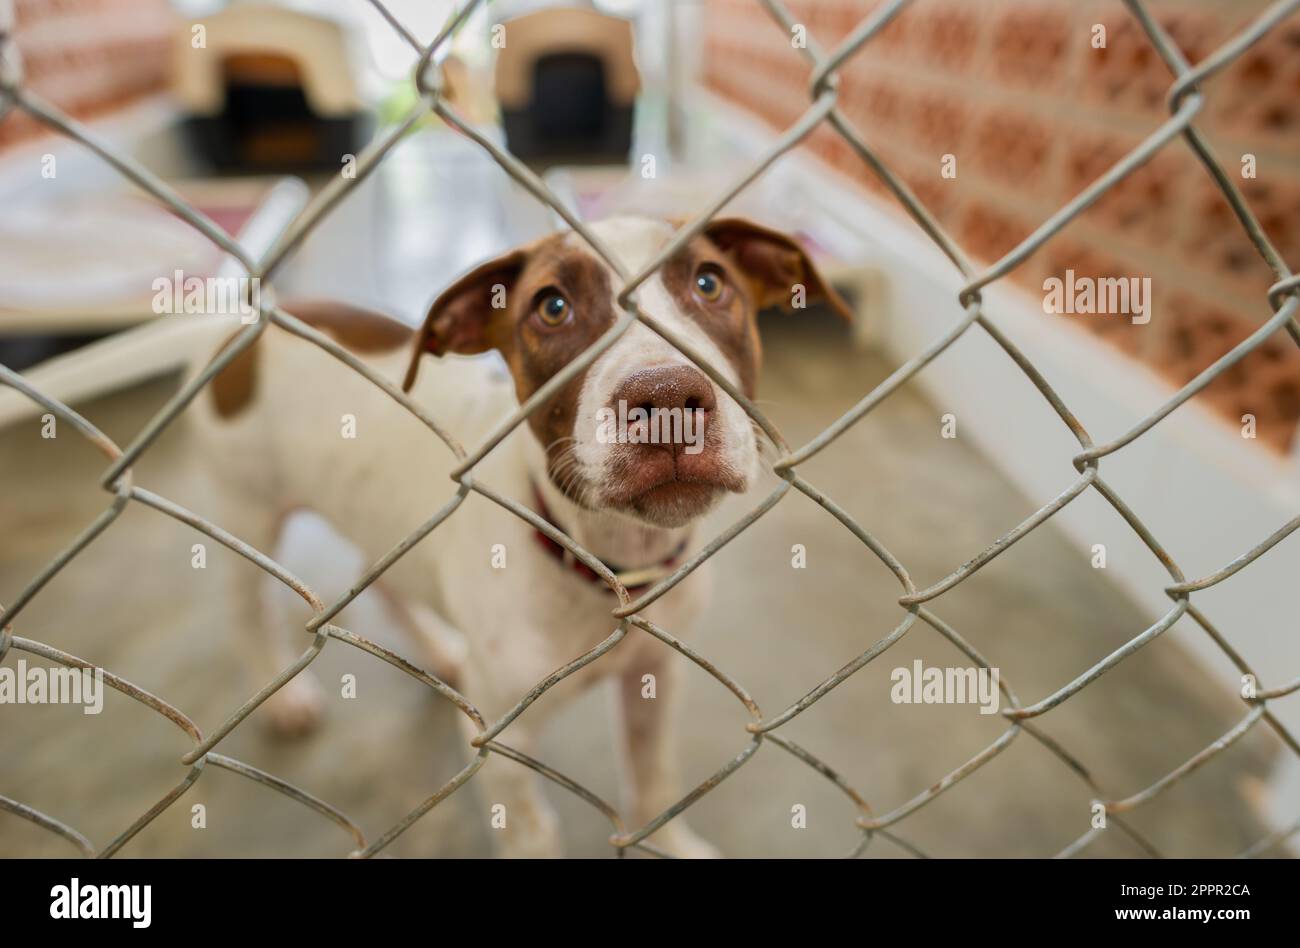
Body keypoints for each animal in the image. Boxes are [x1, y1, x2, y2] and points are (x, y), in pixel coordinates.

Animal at [35, 215, 852, 858]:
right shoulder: (506, 754)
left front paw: (676, 846)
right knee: (246, 611)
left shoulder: (657, 677)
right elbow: (534, 835)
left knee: (386, 582)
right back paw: (284, 700)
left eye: (710, 284)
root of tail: (251, 326)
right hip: (243, 515)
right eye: (551, 307)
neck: (605, 565)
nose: (665, 397)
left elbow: (656, 781)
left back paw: (438, 651)